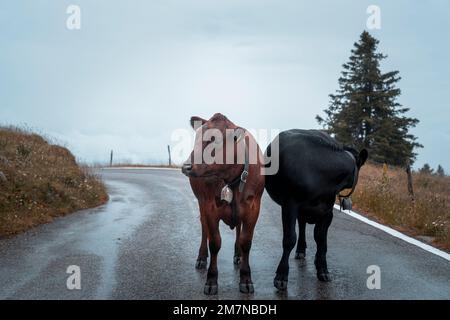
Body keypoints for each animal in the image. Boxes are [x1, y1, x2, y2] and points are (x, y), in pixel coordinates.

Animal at [181, 112, 266, 296]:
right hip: (201, 203)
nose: (186, 167)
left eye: (216, 140)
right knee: (204, 228)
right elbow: (214, 243)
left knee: (238, 230)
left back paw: (237, 254)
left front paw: (246, 278)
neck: (232, 180)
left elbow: (246, 241)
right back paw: (201, 258)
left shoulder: (253, 207)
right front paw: (211, 281)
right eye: (197, 138)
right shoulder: (209, 207)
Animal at [268, 128, 366, 290]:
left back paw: (302, 250)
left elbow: (321, 240)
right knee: (300, 226)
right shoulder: (290, 205)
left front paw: (323, 269)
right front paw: (281, 276)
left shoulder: (327, 212)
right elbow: (289, 239)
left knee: (303, 225)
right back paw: (300, 251)